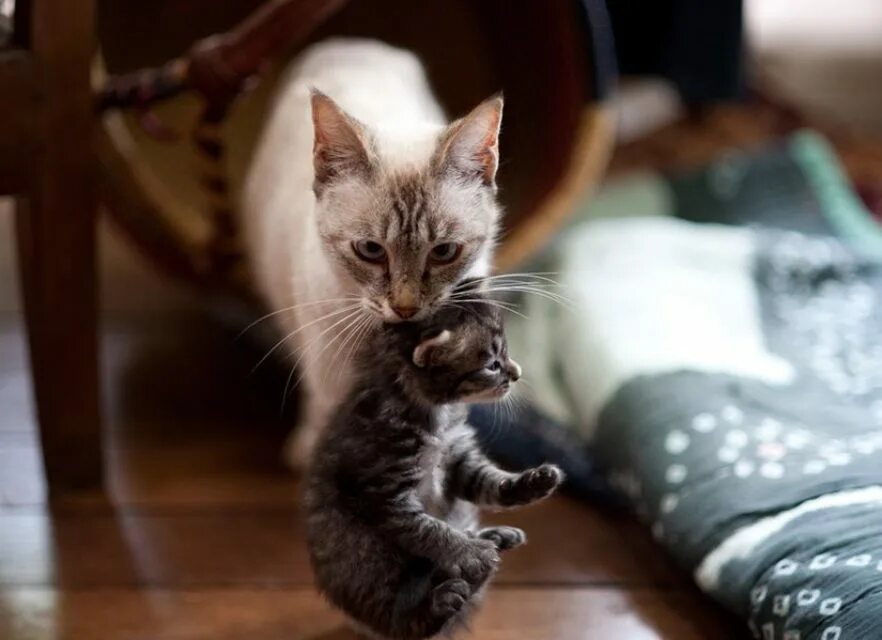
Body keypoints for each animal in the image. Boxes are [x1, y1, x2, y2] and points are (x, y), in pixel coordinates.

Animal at [306, 290, 560, 640]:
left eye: (505, 356)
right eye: (493, 365)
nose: (518, 373)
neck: (435, 414)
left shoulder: (459, 459)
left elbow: (489, 482)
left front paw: (532, 483)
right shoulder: (384, 490)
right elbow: (428, 529)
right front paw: (469, 553)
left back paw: (492, 539)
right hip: (366, 562)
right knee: (400, 621)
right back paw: (445, 596)